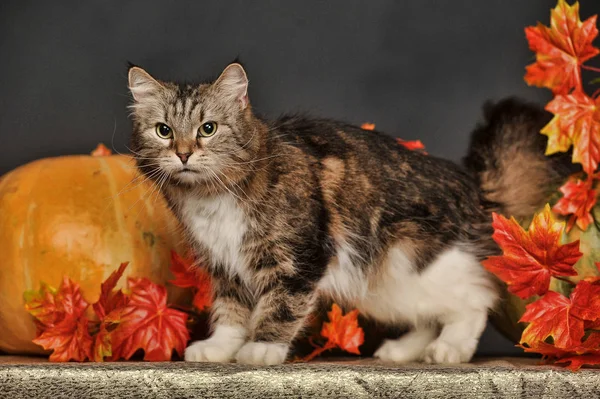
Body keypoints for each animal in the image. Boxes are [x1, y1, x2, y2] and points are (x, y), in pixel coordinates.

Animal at [126, 62, 572, 366]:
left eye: (208, 129)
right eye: (164, 131)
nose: (184, 153)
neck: (210, 197)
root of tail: (473, 188)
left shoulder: (298, 257)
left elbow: (279, 306)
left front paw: (262, 349)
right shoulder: (225, 266)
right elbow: (231, 311)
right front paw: (220, 347)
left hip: (412, 260)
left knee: (476, 298)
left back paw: (449, 348)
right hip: (386, 286)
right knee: (428, 315)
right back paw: (402, 350)